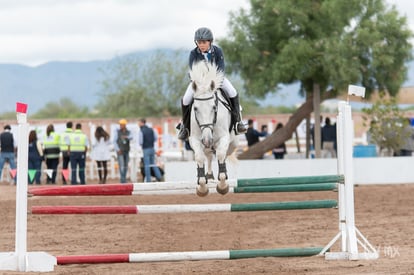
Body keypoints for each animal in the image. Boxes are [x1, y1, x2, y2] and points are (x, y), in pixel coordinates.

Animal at [188, 61, 239, 197]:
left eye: (214, 107)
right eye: (195, 109)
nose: (207, 140)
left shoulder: (224, 137)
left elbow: (221, 154)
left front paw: (222, 186)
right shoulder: (195, 140)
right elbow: (200, 158)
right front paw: (202, 188)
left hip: (233, 143)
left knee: (224, 153)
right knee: (209, 155)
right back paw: (210, 176)